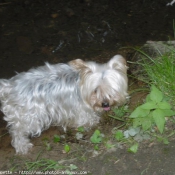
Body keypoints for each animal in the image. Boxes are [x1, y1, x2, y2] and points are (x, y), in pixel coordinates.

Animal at [0, 55, 129, 154]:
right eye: (95, 90)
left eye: (112, 89)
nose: (105, 104)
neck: (81, 84)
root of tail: (8, 87)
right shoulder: (81, 110)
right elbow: (87, 119)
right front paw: (90, 123)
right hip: (28, 117)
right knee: (17, 132)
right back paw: (22, 146)